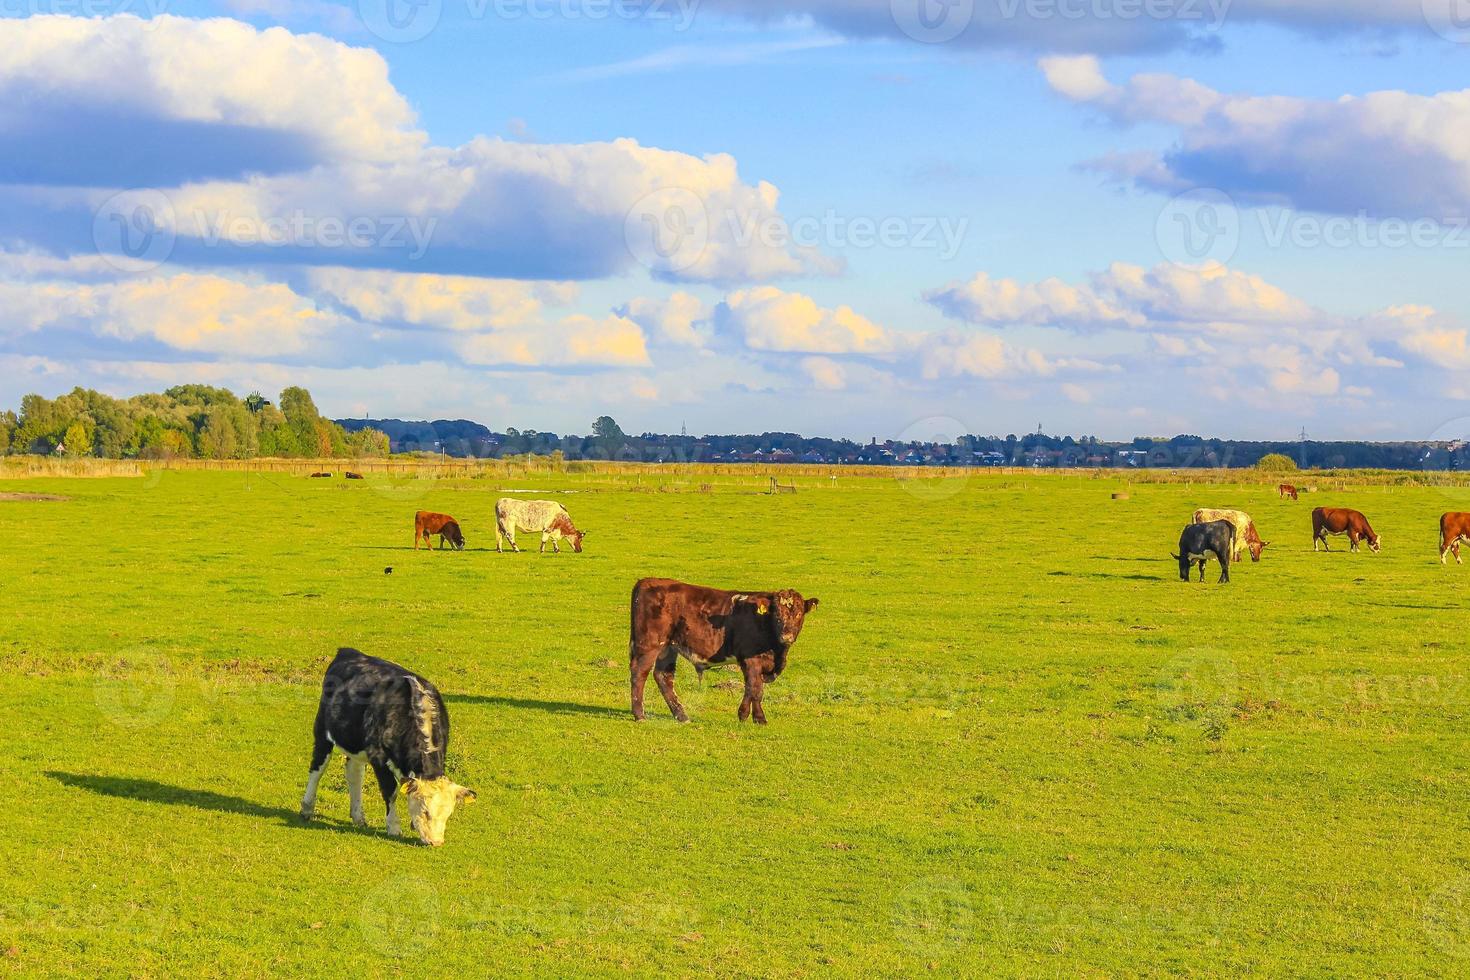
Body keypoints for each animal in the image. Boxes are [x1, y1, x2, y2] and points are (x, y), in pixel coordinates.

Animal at [298, 646, 476, 846]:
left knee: (354, 774)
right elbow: (390, 791)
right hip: (322, 731)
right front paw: (394, 827)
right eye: (425, 811)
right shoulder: (379, 757)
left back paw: (358, 817)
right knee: (317, 768)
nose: (436, 842)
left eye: (448, 814)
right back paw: (307, 808)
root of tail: (348, 651)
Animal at [629, 578, 823, 725]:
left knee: (663, 676)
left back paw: (682, 716)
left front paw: (745, 715)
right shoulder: (751, 659)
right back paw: (640, 715)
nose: (787, 636)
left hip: (669, 648)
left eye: (799, 614)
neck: (776, 652)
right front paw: (758, 718)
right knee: (640, 673)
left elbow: (751, 688)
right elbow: (756, 689)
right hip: (649, 644)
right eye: (777, 615)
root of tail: (647, 581)